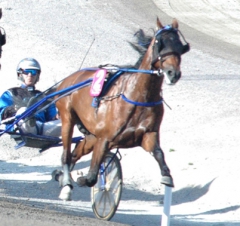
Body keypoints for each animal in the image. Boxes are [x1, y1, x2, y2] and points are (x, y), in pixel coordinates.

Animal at [54, 18, 189, 201]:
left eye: (180, 46)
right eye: (159, 43)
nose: (173, 73)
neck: (139, 97)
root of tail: (70, 79)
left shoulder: (147, 135)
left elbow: (159, 154)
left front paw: (166, 176)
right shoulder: (104, 139)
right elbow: (92, 176)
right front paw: (84, 180)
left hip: (91, 135)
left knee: (76, 152)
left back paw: (61, 178)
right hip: (67, 117)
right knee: (66, 154)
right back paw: (67, 185)